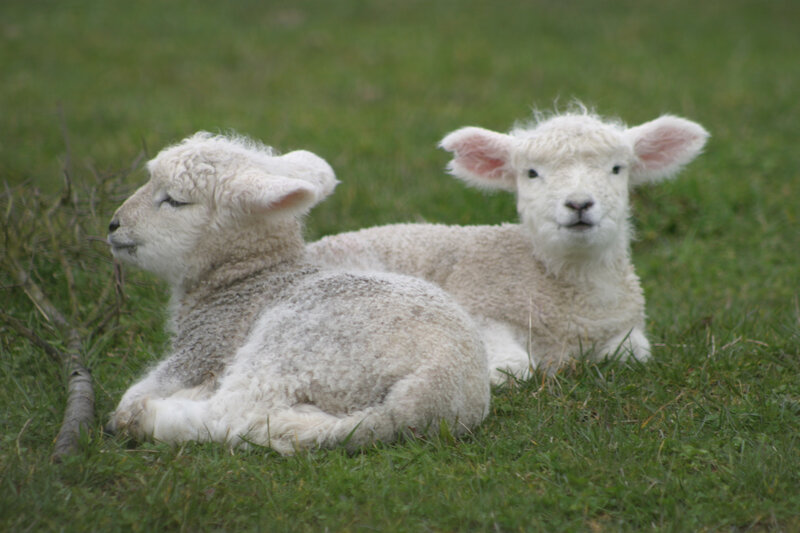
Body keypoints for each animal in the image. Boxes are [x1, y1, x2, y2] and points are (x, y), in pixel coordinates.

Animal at [106, 132, 490, 454]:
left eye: (174, 201)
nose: (113, 225)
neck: (248, 278)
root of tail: (428, 391)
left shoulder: (207, 344)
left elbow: (137, 393)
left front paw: (128, 412)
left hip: (295, 346)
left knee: (233, 415)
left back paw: (152, 416)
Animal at [307, 108, 709, 381]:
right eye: (531, 173)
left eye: (617, 168)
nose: (579, 204)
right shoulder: (480, 306)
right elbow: (514, 368)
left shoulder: (625, 326)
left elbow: (633, 354)